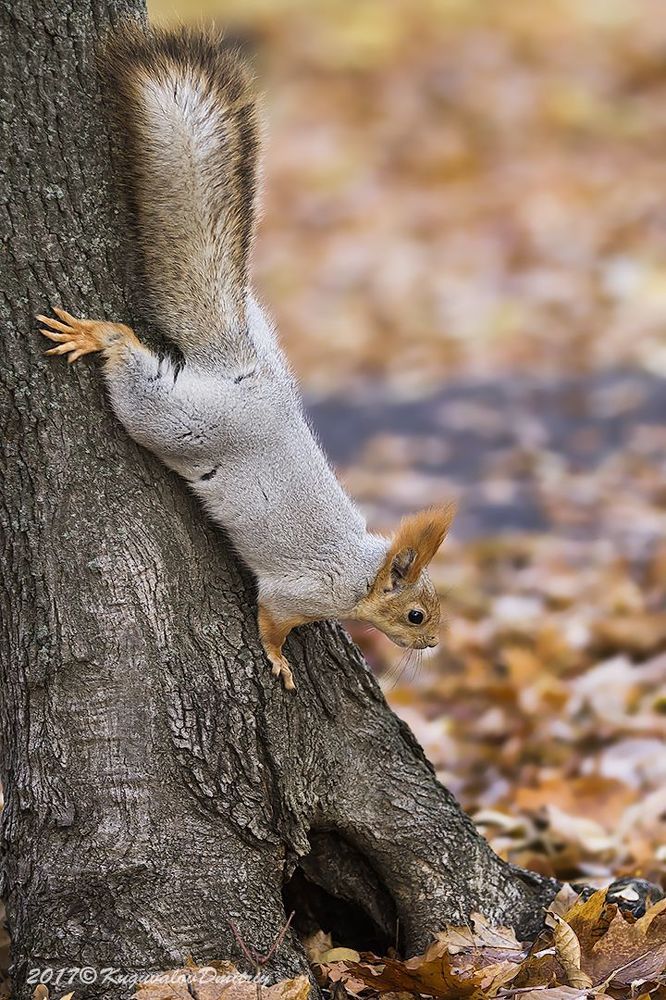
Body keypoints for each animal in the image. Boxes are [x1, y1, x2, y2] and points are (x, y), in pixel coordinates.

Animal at [38, 25, 455, 691]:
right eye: (415, 615)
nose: (436, 642)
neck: (356, 569)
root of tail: (236, 362)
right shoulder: (297, 592)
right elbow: (272, 620)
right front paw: (279, 660)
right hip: (175, 418)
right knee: (131, 365)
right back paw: (99, 336)